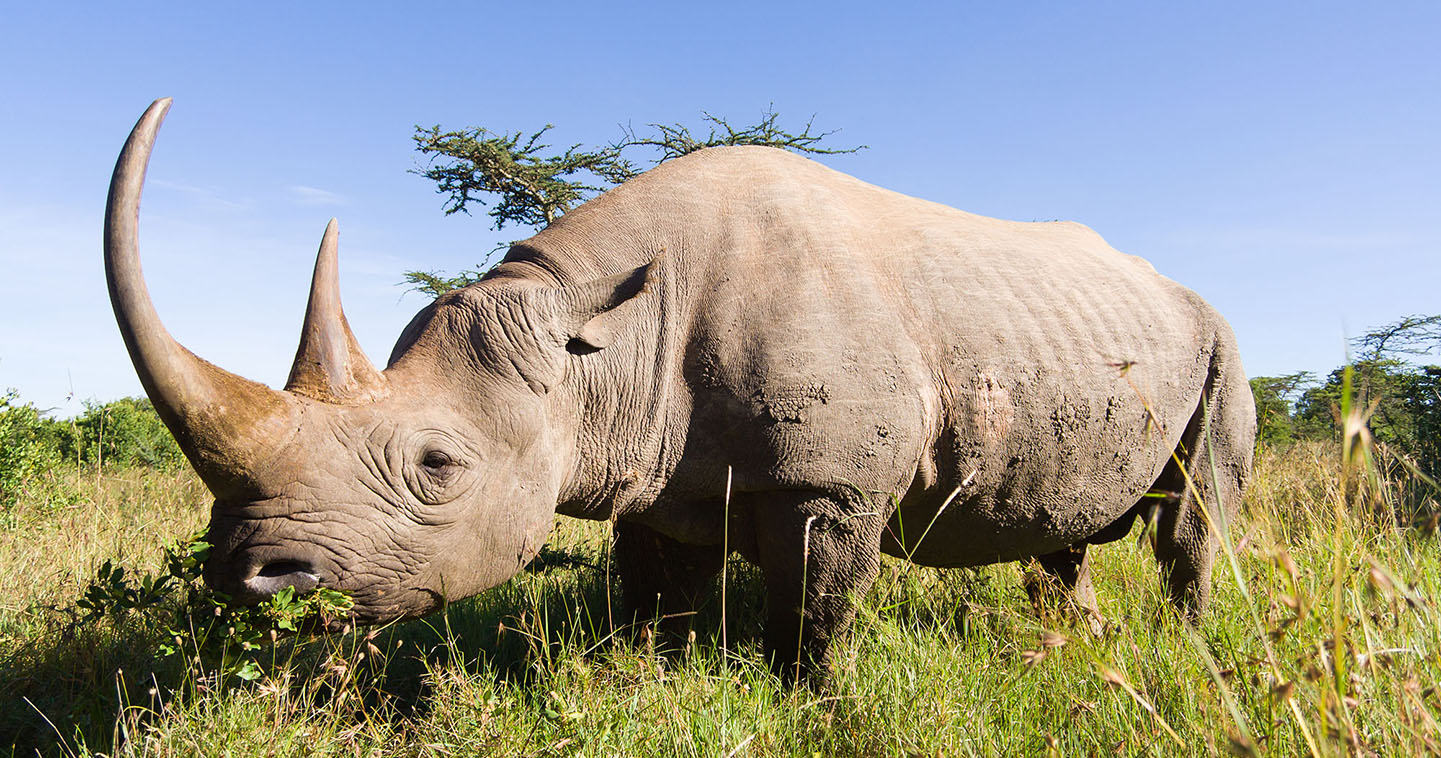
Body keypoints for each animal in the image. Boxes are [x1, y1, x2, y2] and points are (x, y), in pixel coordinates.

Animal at [106, 99, 1250, 677]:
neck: (598, 347)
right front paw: (641, 681)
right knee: (1066, 531)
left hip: (1220, 338)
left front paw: (810, 703)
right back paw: (1080, 647)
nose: (248, 578)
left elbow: (813, 618)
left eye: (437, 466)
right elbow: (653, 605)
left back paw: (1183, 650)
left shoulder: (829, 485)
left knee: (1192, 517)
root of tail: (1175, 286)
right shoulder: (653, 476)